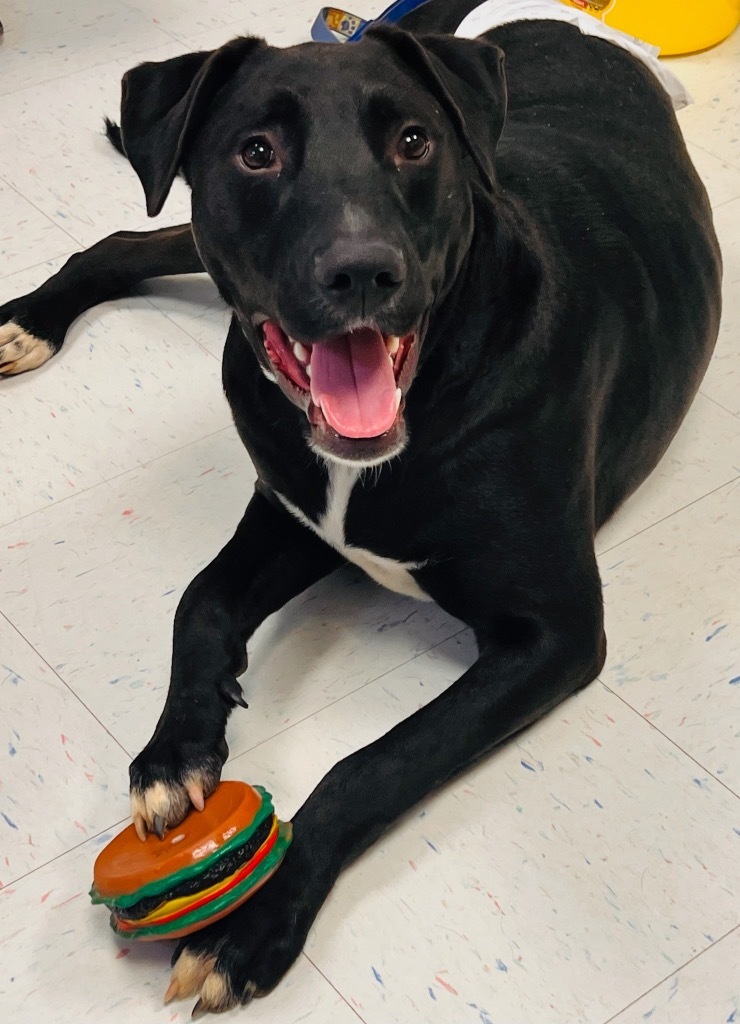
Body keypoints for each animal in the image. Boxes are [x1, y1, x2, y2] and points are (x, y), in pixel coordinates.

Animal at [0, 0, 724, 1011]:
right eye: (256, 151)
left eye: (414, 142)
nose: (362, 272)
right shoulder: (300, 515)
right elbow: (199, 600)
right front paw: (174, 756)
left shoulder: (554, 633)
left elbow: (374, 762)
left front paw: (256, 922)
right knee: (124, 240)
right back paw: (31, 319)